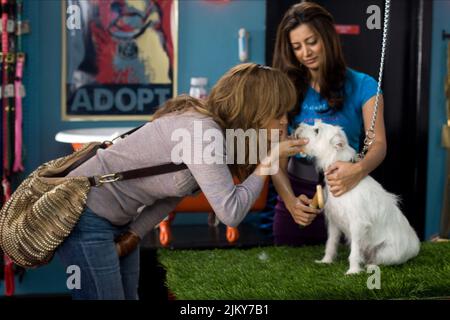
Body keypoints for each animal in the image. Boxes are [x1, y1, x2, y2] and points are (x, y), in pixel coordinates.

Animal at [294, 120, 420, 276]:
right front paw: (326, 261)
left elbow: (354, 251)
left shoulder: (357, 225)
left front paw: (353, 271)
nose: (298, 125)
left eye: (317, 130)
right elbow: (331, 243)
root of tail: (416, 247)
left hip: (387, 252)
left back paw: (368, 266)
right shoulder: (334, 223)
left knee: (380, 261)